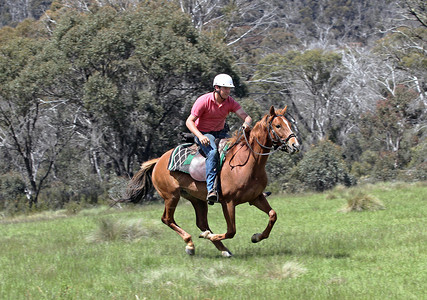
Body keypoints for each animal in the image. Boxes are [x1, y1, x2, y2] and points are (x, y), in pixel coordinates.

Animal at [123, 105, 300, 255]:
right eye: (278, 126)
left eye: (289, 123)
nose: (295, 145)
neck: (248, 162)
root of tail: (159, 160)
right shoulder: (228, 202)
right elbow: (231, 231)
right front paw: (209, 236)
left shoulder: (256, 198)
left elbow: (273, 215)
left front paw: (256, 237)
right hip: (171, 196)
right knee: (167, 219)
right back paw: (191, 244)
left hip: (197, 199)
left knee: (201, 223)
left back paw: (222, 249)